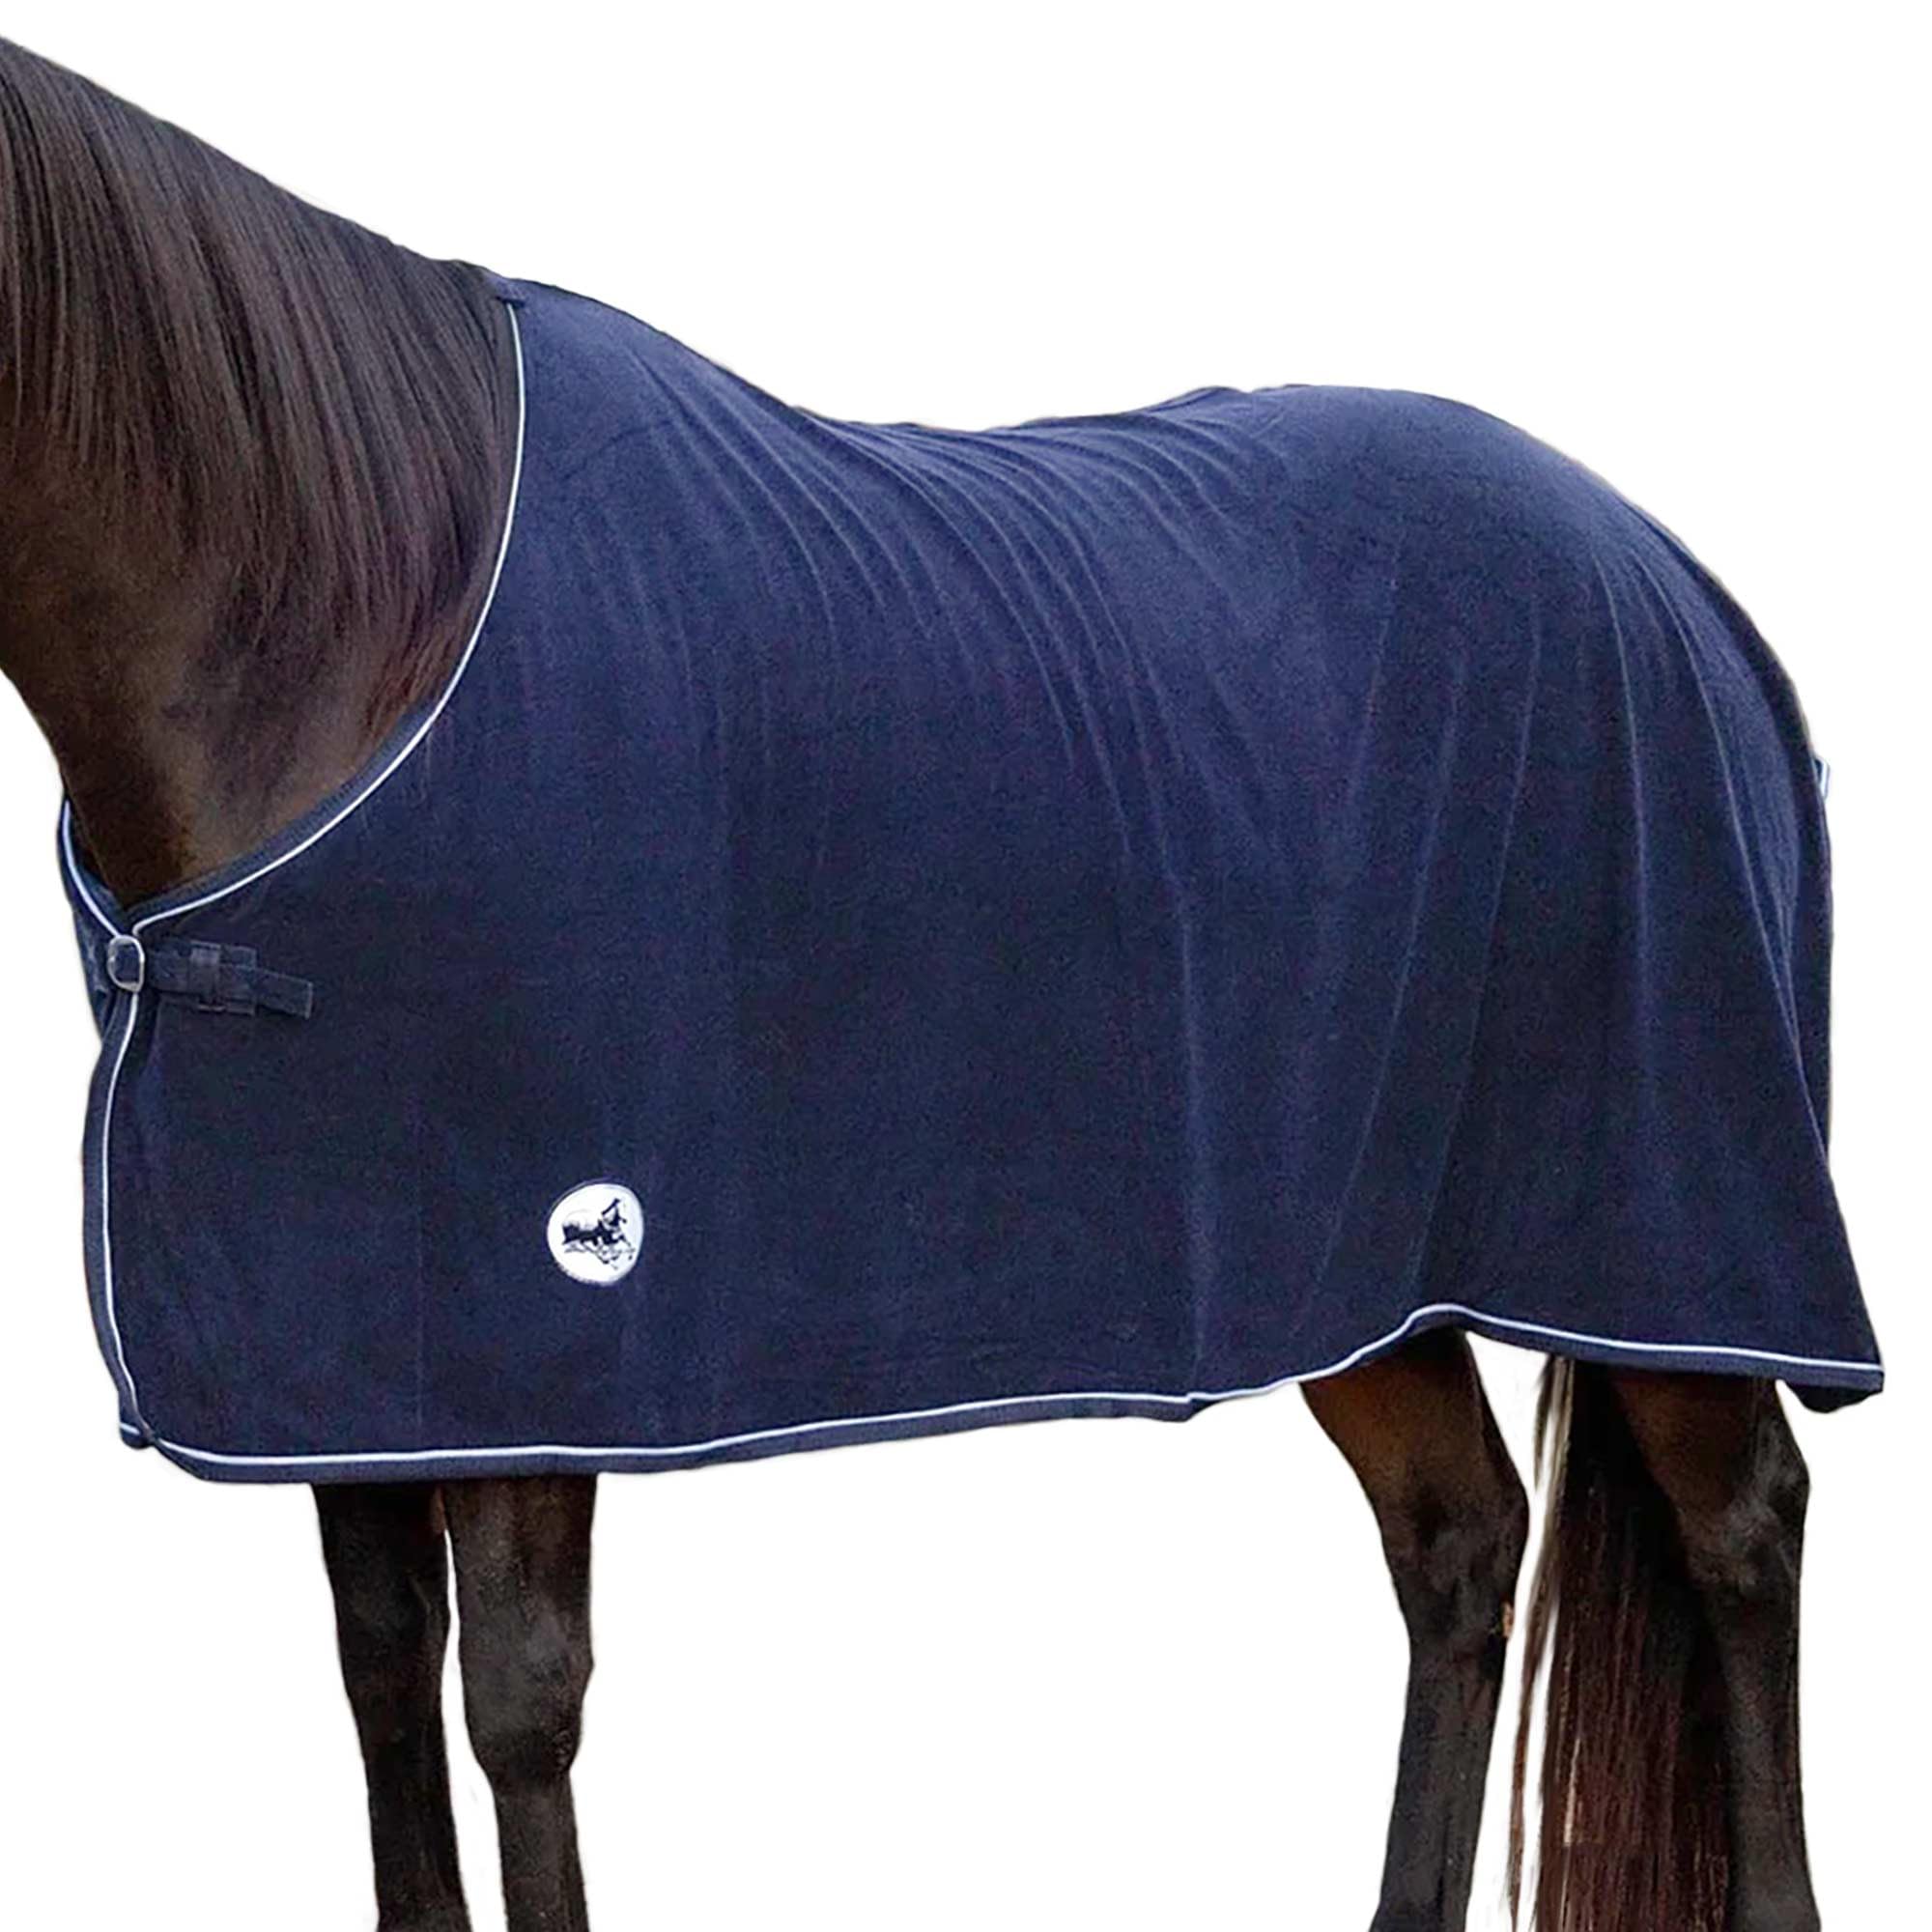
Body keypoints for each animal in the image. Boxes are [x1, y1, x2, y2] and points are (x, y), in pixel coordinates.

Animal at [0, 37, 1878, 1932]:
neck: (360, 625)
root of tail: (1672, 577)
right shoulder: (343, 1354)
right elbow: (383, 1670)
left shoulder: (553, 1320)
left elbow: (520, 1703)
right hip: (1363, 1272)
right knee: (1461, 1540)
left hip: (1665, 1217)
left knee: (1744, 1527)